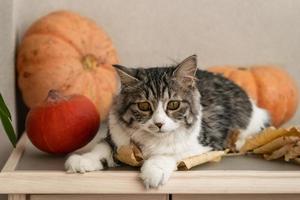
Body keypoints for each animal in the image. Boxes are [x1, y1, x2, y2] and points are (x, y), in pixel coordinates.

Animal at [65, 55, 270, 188]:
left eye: (173, 104)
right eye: (144, 106)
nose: (159, 124)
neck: (151, 141)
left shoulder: (206, 144)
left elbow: (168, 153)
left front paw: (153, 170)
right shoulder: (116, 138)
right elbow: (101, 148)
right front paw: (83, 160)